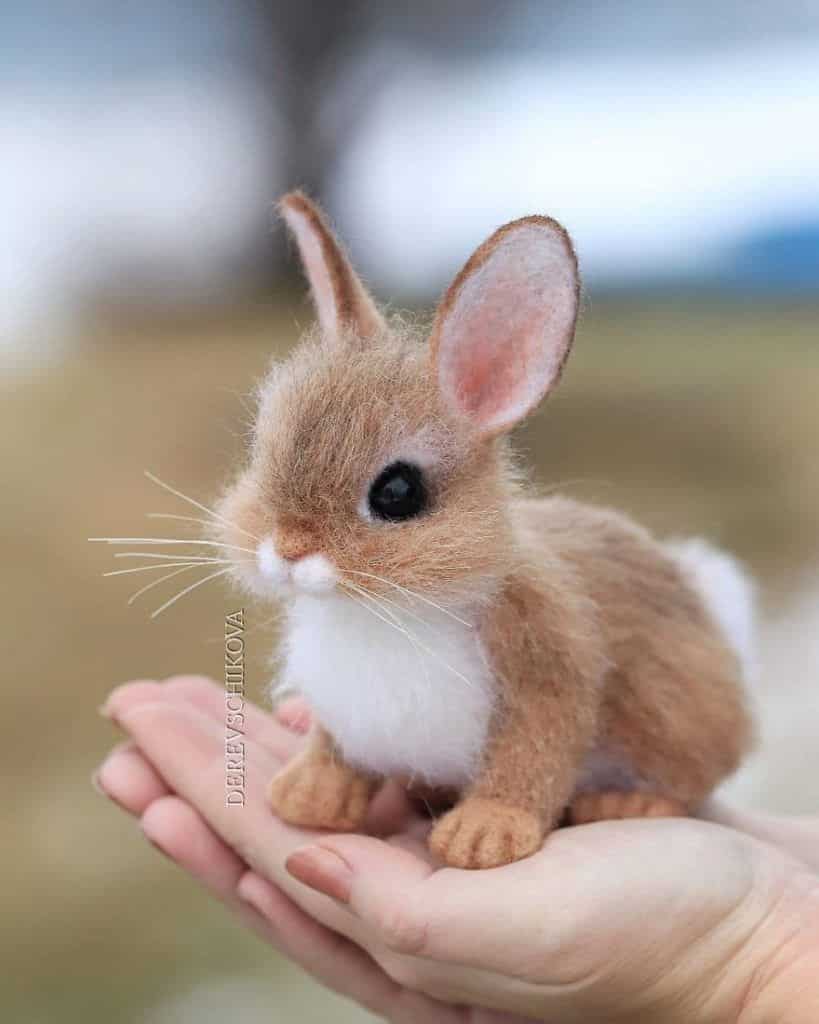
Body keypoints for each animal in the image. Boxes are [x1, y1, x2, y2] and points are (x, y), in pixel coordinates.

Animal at [217, 190, 753, 864]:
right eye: (259, 451)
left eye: (398, 493)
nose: (287, 551)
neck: (388, 609)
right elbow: (334, 746)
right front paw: (308, 796)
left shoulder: (547, 660)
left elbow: (533, 756)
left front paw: (484, 835)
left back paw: (627, 804)